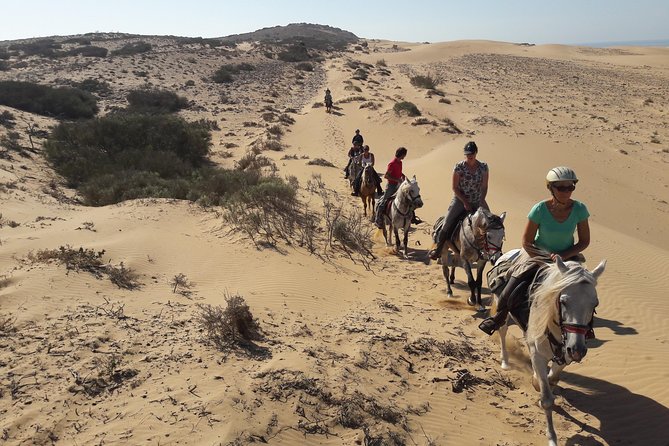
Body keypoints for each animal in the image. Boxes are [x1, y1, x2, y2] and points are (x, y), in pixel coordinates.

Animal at [495, 256, 606, 446]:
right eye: (563, 301)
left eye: (595, 303)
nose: (577, 350)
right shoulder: (538, 355)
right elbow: (547, 399)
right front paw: (552, 438)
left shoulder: (564, 355)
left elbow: (552, 377)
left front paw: (538, 381)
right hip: (502, 309)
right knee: (502, 330)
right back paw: (505, 362)